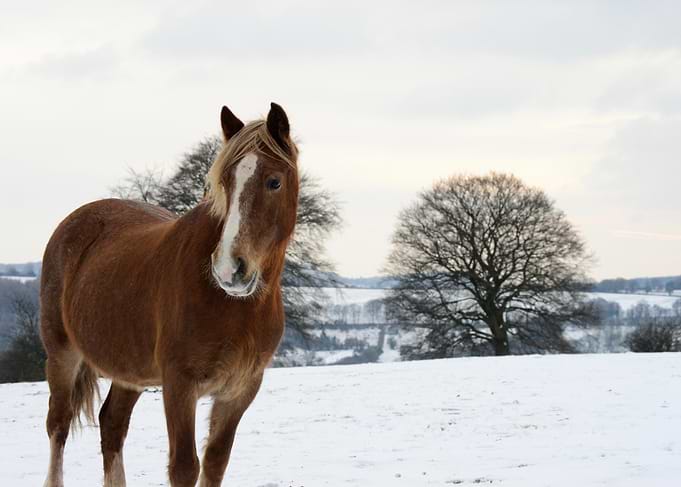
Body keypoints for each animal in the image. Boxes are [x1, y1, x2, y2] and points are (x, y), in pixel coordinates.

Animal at [39, 103, 299, 487]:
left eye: (274, 182)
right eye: (223, 182)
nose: (229, 270)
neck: (234, 308)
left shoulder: (239, 390)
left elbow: (215, 462)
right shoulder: (179, 384)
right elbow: (184, 466)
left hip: (128, 370)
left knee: (112, 425)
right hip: (62, 353)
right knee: (58, 424)